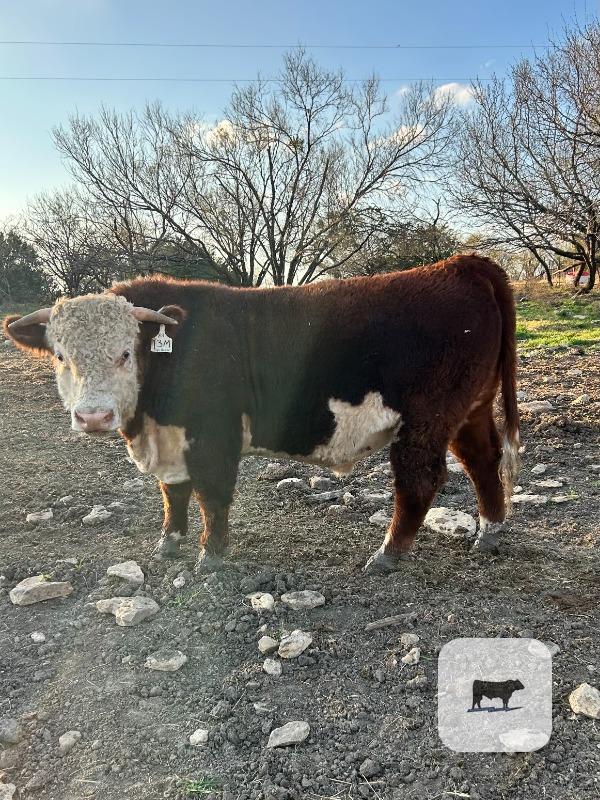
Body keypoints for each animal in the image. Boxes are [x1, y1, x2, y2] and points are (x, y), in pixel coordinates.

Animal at [3, 254, 520, 573]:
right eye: (60, 356)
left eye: (125, 354)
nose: (93, 417)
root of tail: (461, 264)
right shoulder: (172, 440)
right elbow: (174, 492)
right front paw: (169, 542)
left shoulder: (214, 435)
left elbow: (211, 495)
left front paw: (210, 556)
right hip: (470, 409)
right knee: (483, 461)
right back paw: (490, 532)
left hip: (428, 417)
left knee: (420, 478)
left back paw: (388, 554)